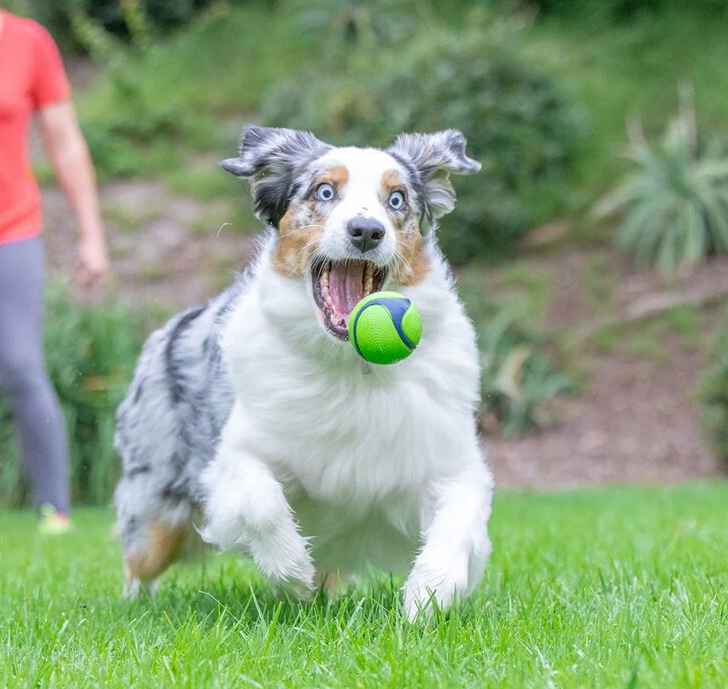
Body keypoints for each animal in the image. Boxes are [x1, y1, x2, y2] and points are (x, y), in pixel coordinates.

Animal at [114, 123, 494, 620]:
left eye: (396, 200)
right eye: (324, 191)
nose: (366, 230)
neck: (351, 369)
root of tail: (166, 331)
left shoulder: (445, 461)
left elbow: (458, 516)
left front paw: (431, 593)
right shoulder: (232, 460)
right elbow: (260, 501)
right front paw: (292, 571)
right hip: (158, 505)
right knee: (139, 560)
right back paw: (137, 608)